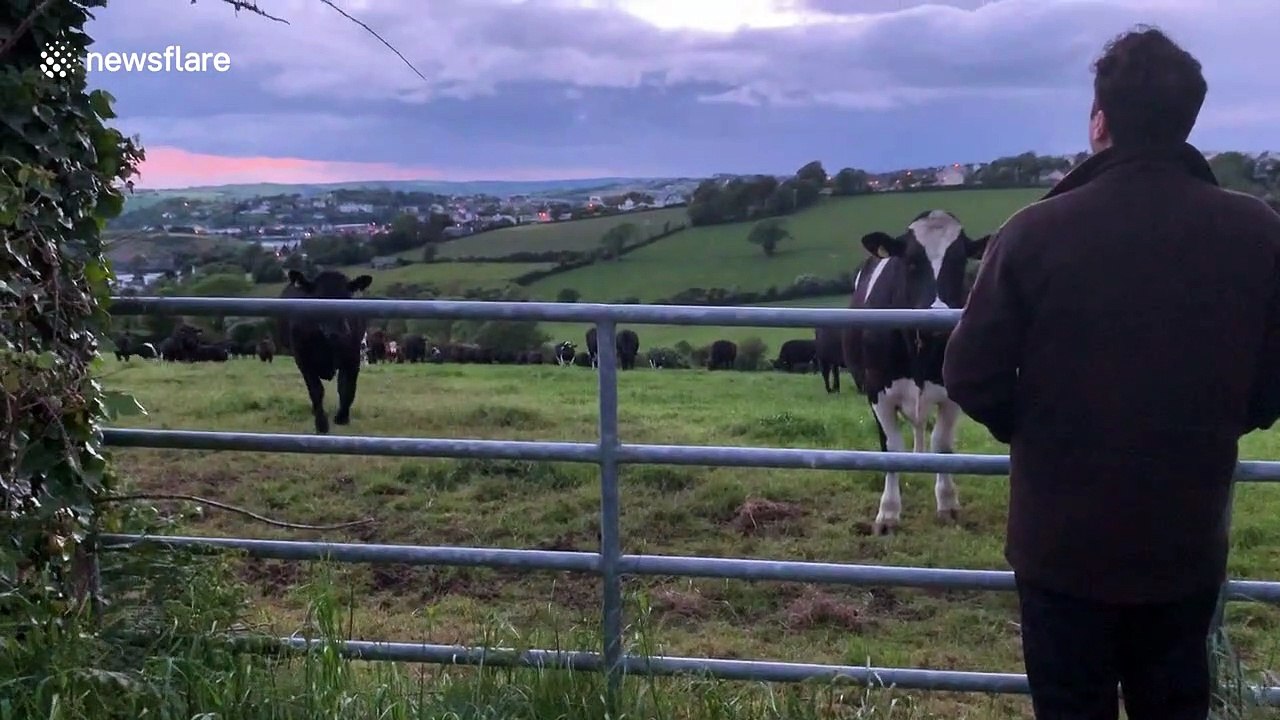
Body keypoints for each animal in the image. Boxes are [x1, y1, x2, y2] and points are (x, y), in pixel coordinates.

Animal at [276, 269, 373, 435]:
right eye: (318, 299)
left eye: (347, 298)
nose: (338, 331)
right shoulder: (303, 360)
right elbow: (316, 391)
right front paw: (321, 424)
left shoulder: (353, 357)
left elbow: (347, 388)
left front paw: (342, 417)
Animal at [841, 209, 989, 535]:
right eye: (910, 261)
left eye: (960, 262)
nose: (936, 315)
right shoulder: (877, 391)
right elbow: (891, 447)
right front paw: (888, 513)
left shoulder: (951, 395)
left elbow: (942, 445)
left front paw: (947, 504)